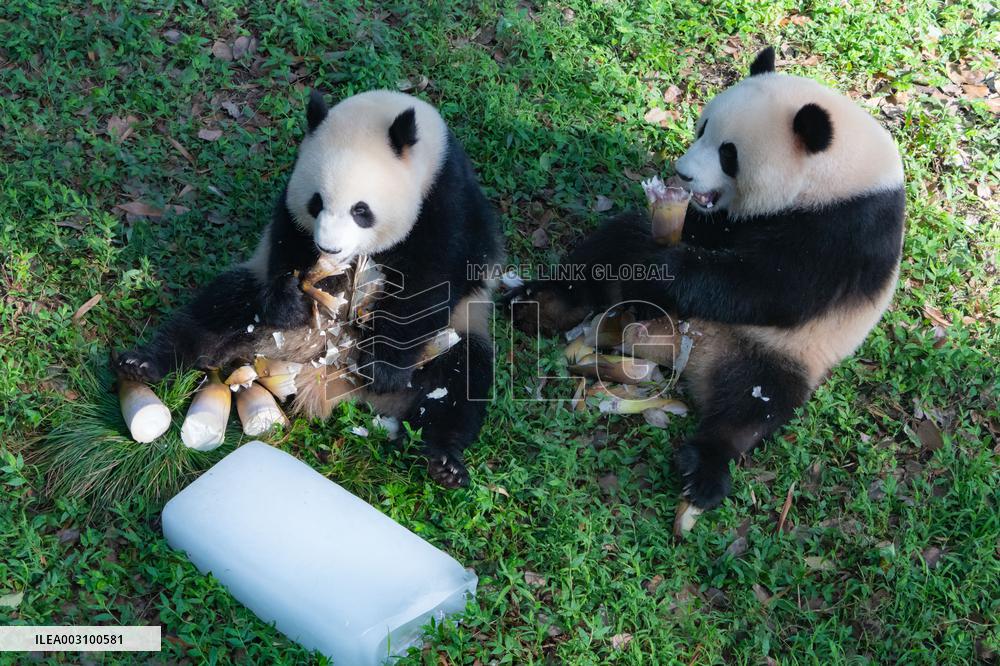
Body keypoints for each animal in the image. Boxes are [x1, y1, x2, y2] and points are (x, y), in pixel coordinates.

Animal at [116, 89, 504, 487]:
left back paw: (443, 461)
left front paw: (383, 365)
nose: (329, 249)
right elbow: (286, 241)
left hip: (456, 331)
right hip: (253, 305)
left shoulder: (449, 201)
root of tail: (328, 382)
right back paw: (142, 364)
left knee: (461, 380)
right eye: (316, 203)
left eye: (361, 210)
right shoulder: (291, 207)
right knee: (216, 312)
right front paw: (294, 300)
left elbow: (432, 281)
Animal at [506, 47, 905, 510]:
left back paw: (704, 468)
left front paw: (660, 273)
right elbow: (700, 234)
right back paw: (542, 306)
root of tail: (680, 349)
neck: (837, 172)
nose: (683, 173)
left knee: (754, 403)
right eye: (702, 128)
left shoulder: (849, 228)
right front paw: (653, 260)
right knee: (610, 246)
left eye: (729, 154)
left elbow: (771, 286)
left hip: (776, 350)